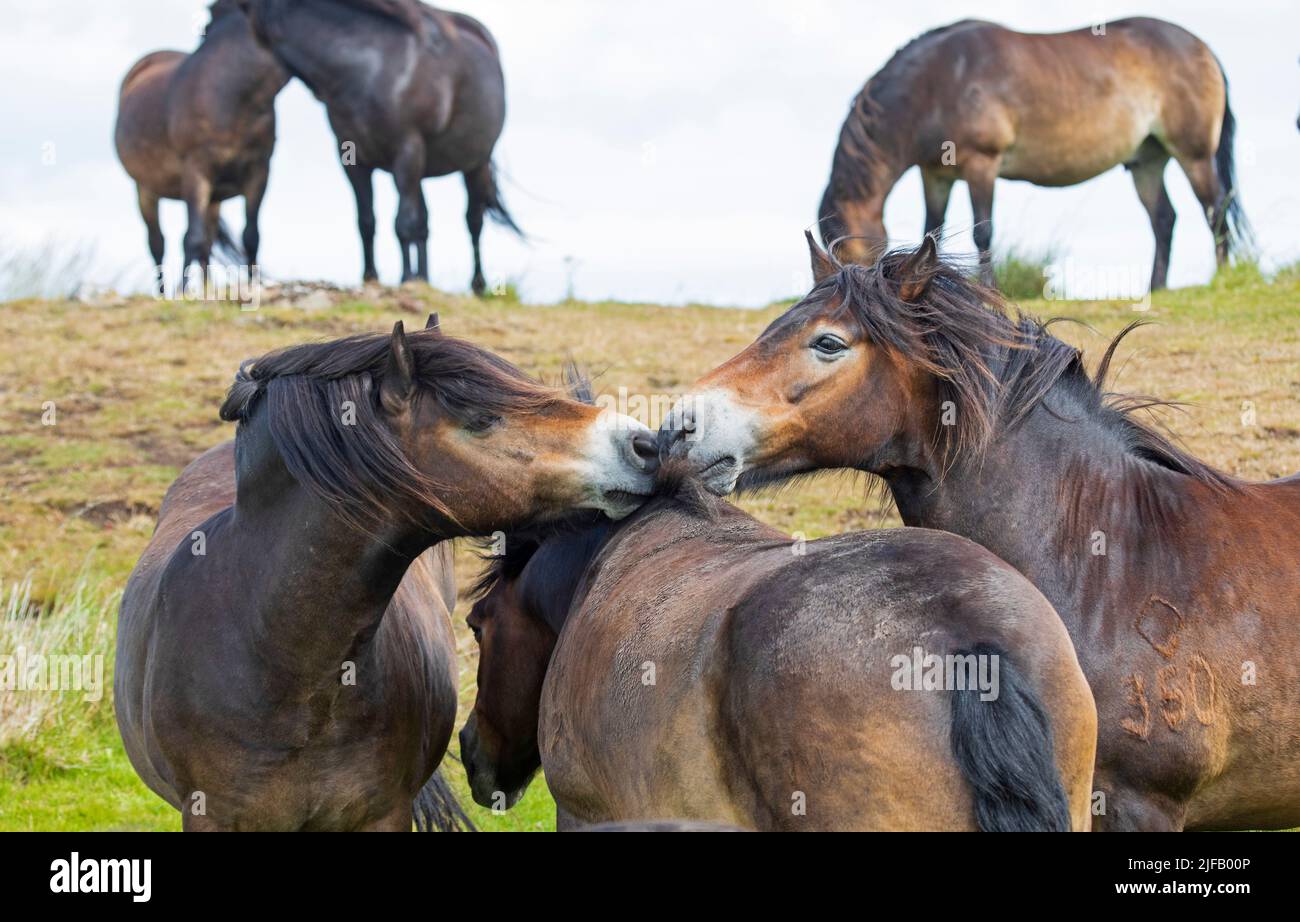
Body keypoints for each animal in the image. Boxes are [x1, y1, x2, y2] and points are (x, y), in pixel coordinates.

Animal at [114, 0, 287, 287]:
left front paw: (252, 286)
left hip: (214, 197)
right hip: (145, 189)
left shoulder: (259, 170)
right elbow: (190, 239)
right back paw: (164, 292)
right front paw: (183, 292)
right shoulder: (195, 169)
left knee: (206, 242)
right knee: (158, 244)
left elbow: (251, 236)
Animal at [236, 0, 520, 291]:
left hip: (474, 163)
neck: (371, 69)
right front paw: (371, 277)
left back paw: (477, 284)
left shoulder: (407, 150)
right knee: (425, 222)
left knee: (474, 220)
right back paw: (424, 278)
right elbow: (367, 221)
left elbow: (403, 223)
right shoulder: (354, 160)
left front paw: (405, 278)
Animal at [816, 17, 1253, 287]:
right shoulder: (935, 174)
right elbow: (933, 230)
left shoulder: (981, 164)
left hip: (1194, 154)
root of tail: (1202, 48)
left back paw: (1222, 276)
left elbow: (983, 231)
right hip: (1147, 161)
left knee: (1215, 208)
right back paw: (1156, 286)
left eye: (848, 250)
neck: (937, 81)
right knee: (1164, 218)